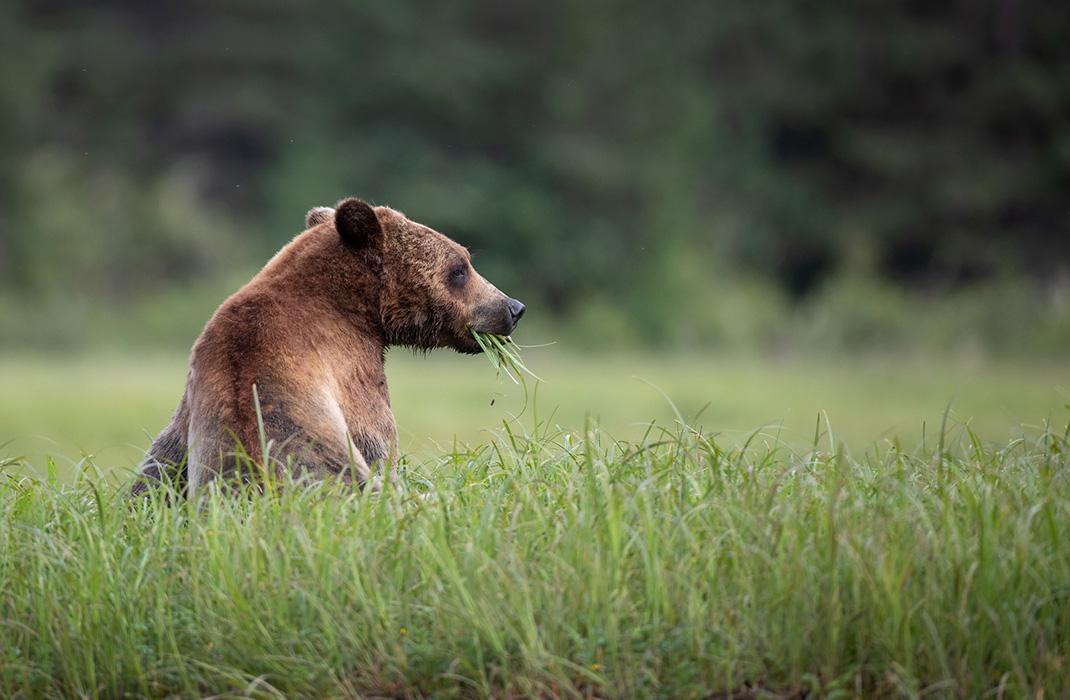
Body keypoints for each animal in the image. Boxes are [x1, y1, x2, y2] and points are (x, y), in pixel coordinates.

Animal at [133, 196, 526, 498]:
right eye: (459, 268)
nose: (513, 308)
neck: (356, 308)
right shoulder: (351, 370)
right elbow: (381, 443)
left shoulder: (195, 393)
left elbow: (157, 467)